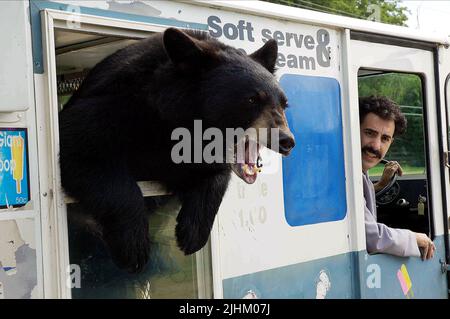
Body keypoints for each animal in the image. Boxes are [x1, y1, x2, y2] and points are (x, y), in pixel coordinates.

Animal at [58, 28, 294, 272]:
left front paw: (192, 234)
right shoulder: (113, 107)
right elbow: (83, 153)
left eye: (284, 103)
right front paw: (134, 246)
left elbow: (212, 175)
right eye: (252, 99)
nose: (286, 140)